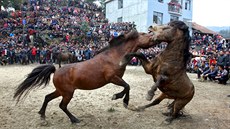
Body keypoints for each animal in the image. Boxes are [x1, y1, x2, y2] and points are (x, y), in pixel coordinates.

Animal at [13, 30, 158, 124]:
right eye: (145, 34)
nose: (156, 38)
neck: (114, 57)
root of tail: (56, 71)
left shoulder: (116, 79)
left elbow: (127, 86)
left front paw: (121, 99)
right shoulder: (112, 78)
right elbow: (127, 86)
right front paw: (120, 99)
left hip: (61, 91)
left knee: (47, 97)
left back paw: (42, 116)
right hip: (67, 93)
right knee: (62, 106)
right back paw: (74, 120)